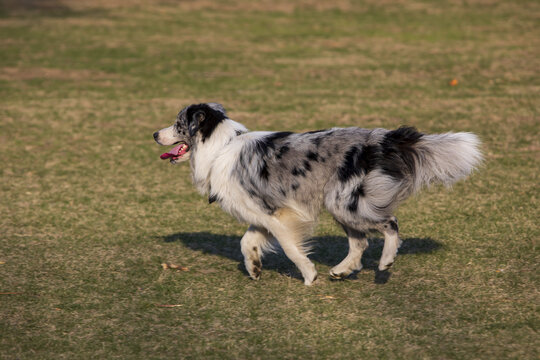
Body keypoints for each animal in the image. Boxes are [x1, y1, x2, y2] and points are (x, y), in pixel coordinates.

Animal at [152, 103, 480, 284]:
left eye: (178, 124)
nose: (154, 134)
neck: (219, 147)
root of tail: (382, 140)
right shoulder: (263, 214)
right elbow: (247, 242)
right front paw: (254, 268)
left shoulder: (280, 214)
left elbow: (291, 248)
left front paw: (309, 276)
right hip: (340, 204)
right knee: (360, 243)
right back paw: (342, 271)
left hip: (344, 202)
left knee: (390, 224)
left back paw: (385, 261)